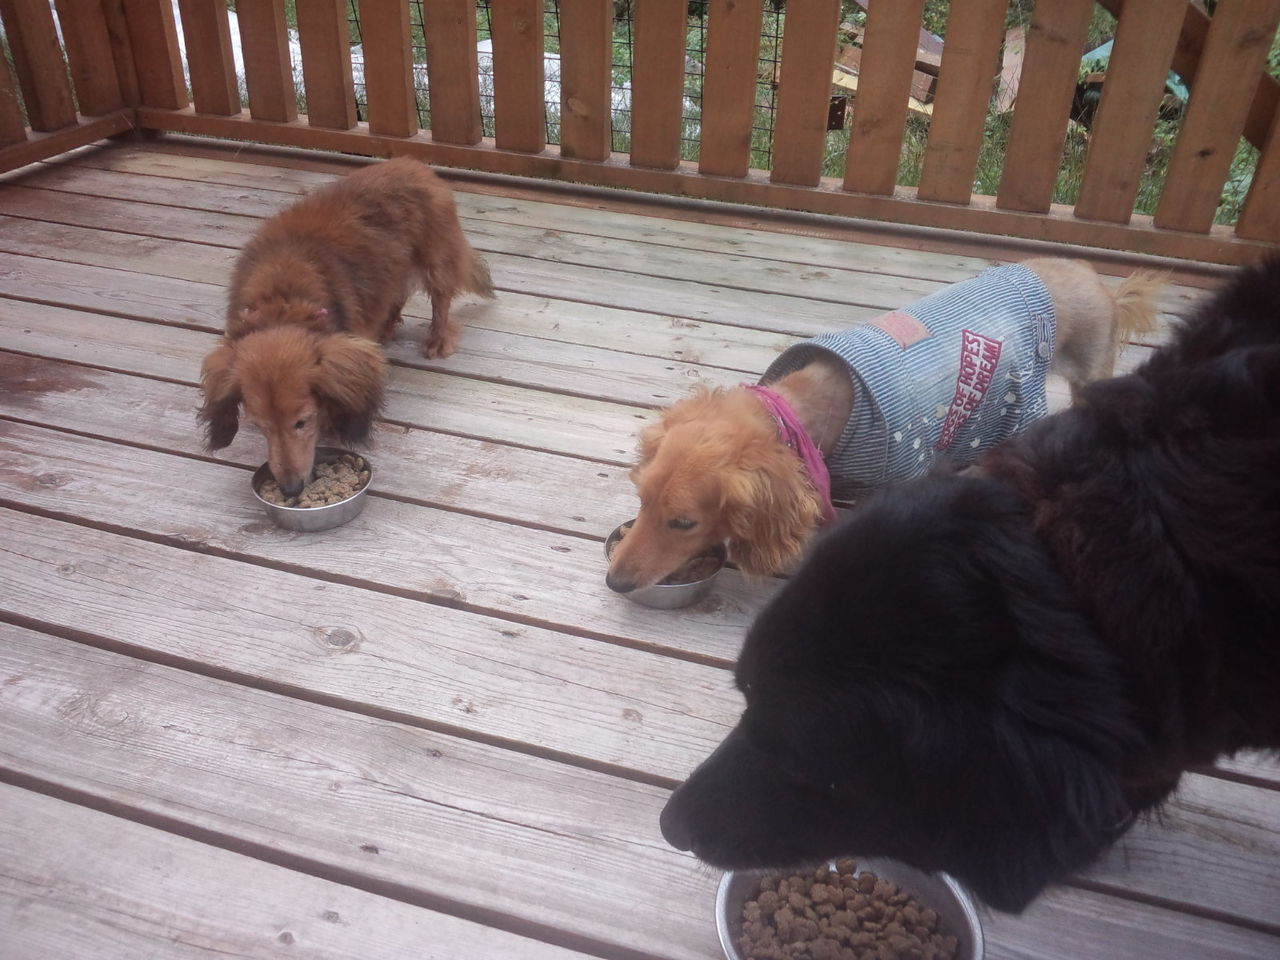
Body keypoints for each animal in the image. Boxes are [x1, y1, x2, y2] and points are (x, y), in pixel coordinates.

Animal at [198, 157, 494, 495]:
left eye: (302, 422)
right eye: (260, 426)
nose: (291, 489)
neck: (282, 299)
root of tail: (412, 163)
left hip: (435, 258)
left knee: (440, 299)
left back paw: (437, 339)